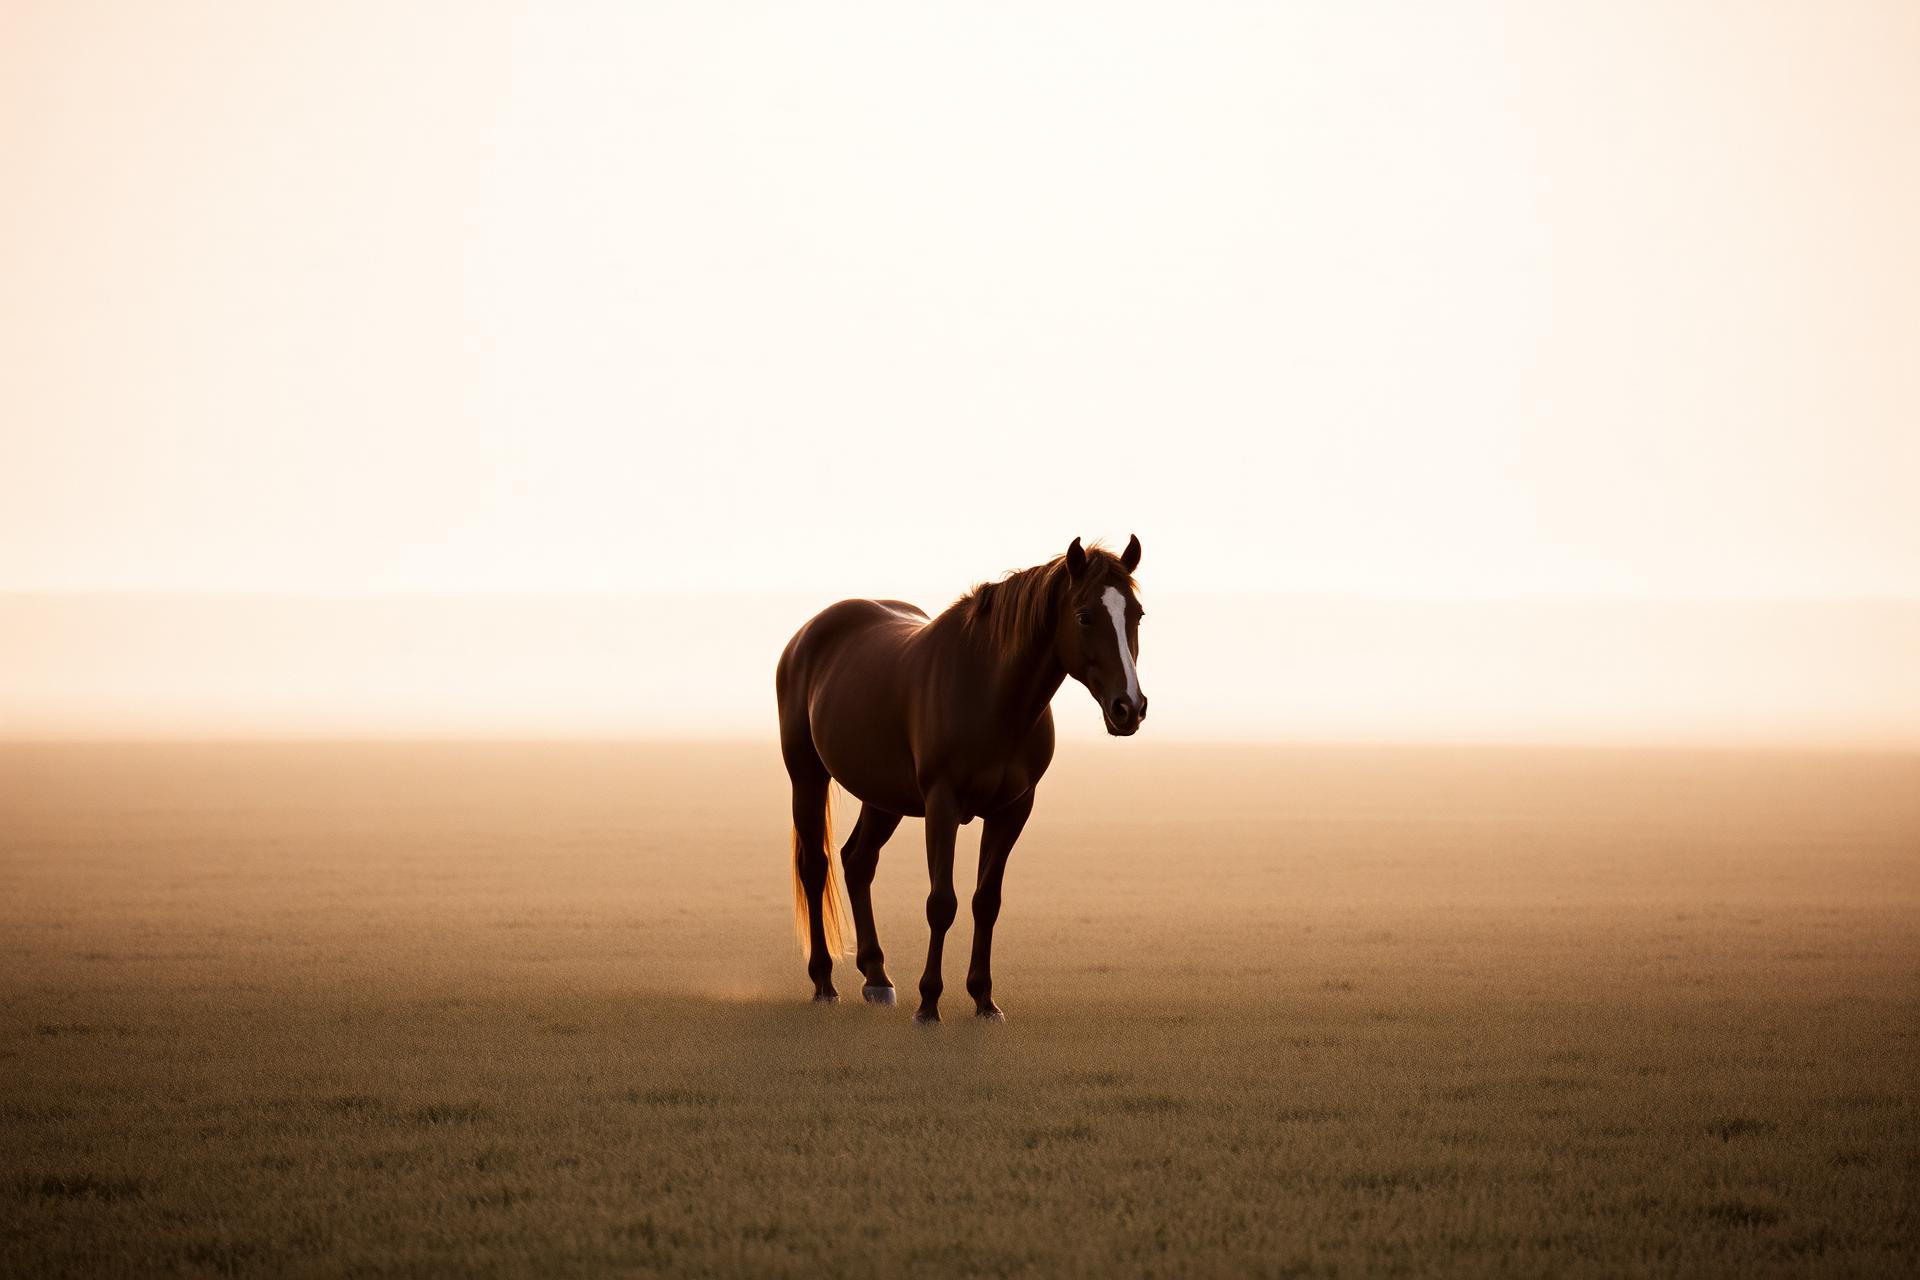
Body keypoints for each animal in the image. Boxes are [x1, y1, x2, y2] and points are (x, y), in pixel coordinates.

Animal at [775, 535, 1147, 1023]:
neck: (988, 692)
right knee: (815, 867)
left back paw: (877, 978)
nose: (1129, 708)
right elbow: (942, 902)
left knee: (858, 862)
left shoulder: (1013, 810)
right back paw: (823, 982)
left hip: (883, 797)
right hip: (807, 776)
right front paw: (929, 1003)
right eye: (1085, 616)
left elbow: (986, 902)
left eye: (1137, 614)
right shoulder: (942, 804)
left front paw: (984, 999)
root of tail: (807, 635)